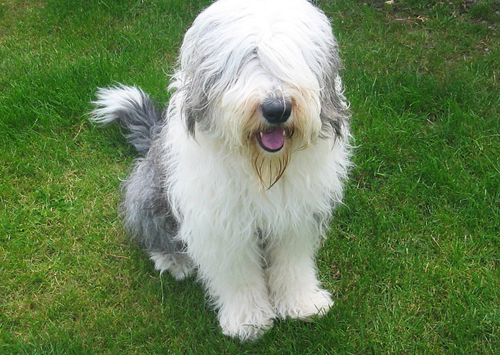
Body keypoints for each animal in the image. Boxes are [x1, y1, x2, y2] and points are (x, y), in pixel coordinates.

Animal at [90, 0, 350, 340]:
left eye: (291, 60)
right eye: (248, 57)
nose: (277, 109)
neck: (262, 167)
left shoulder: (295, 216)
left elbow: (292, 263)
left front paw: (302, 303)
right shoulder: (221, 223)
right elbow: (237, 273)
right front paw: (248, 320)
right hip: (148, 191)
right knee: (148, 230)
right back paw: (173, 260)